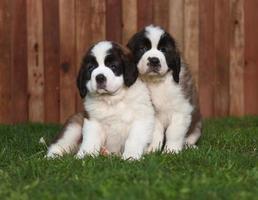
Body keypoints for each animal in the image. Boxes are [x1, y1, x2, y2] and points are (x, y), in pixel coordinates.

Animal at [128, 25, 203, 153]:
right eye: (143, 48)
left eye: (163, 50)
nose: (154, 60)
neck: (158, 82)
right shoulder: (153, 113)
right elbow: (155, 132)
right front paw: (152, 149)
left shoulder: (181, 110)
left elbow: (174, 132)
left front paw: (171, 151)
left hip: (197, 125)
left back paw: (189, 146)